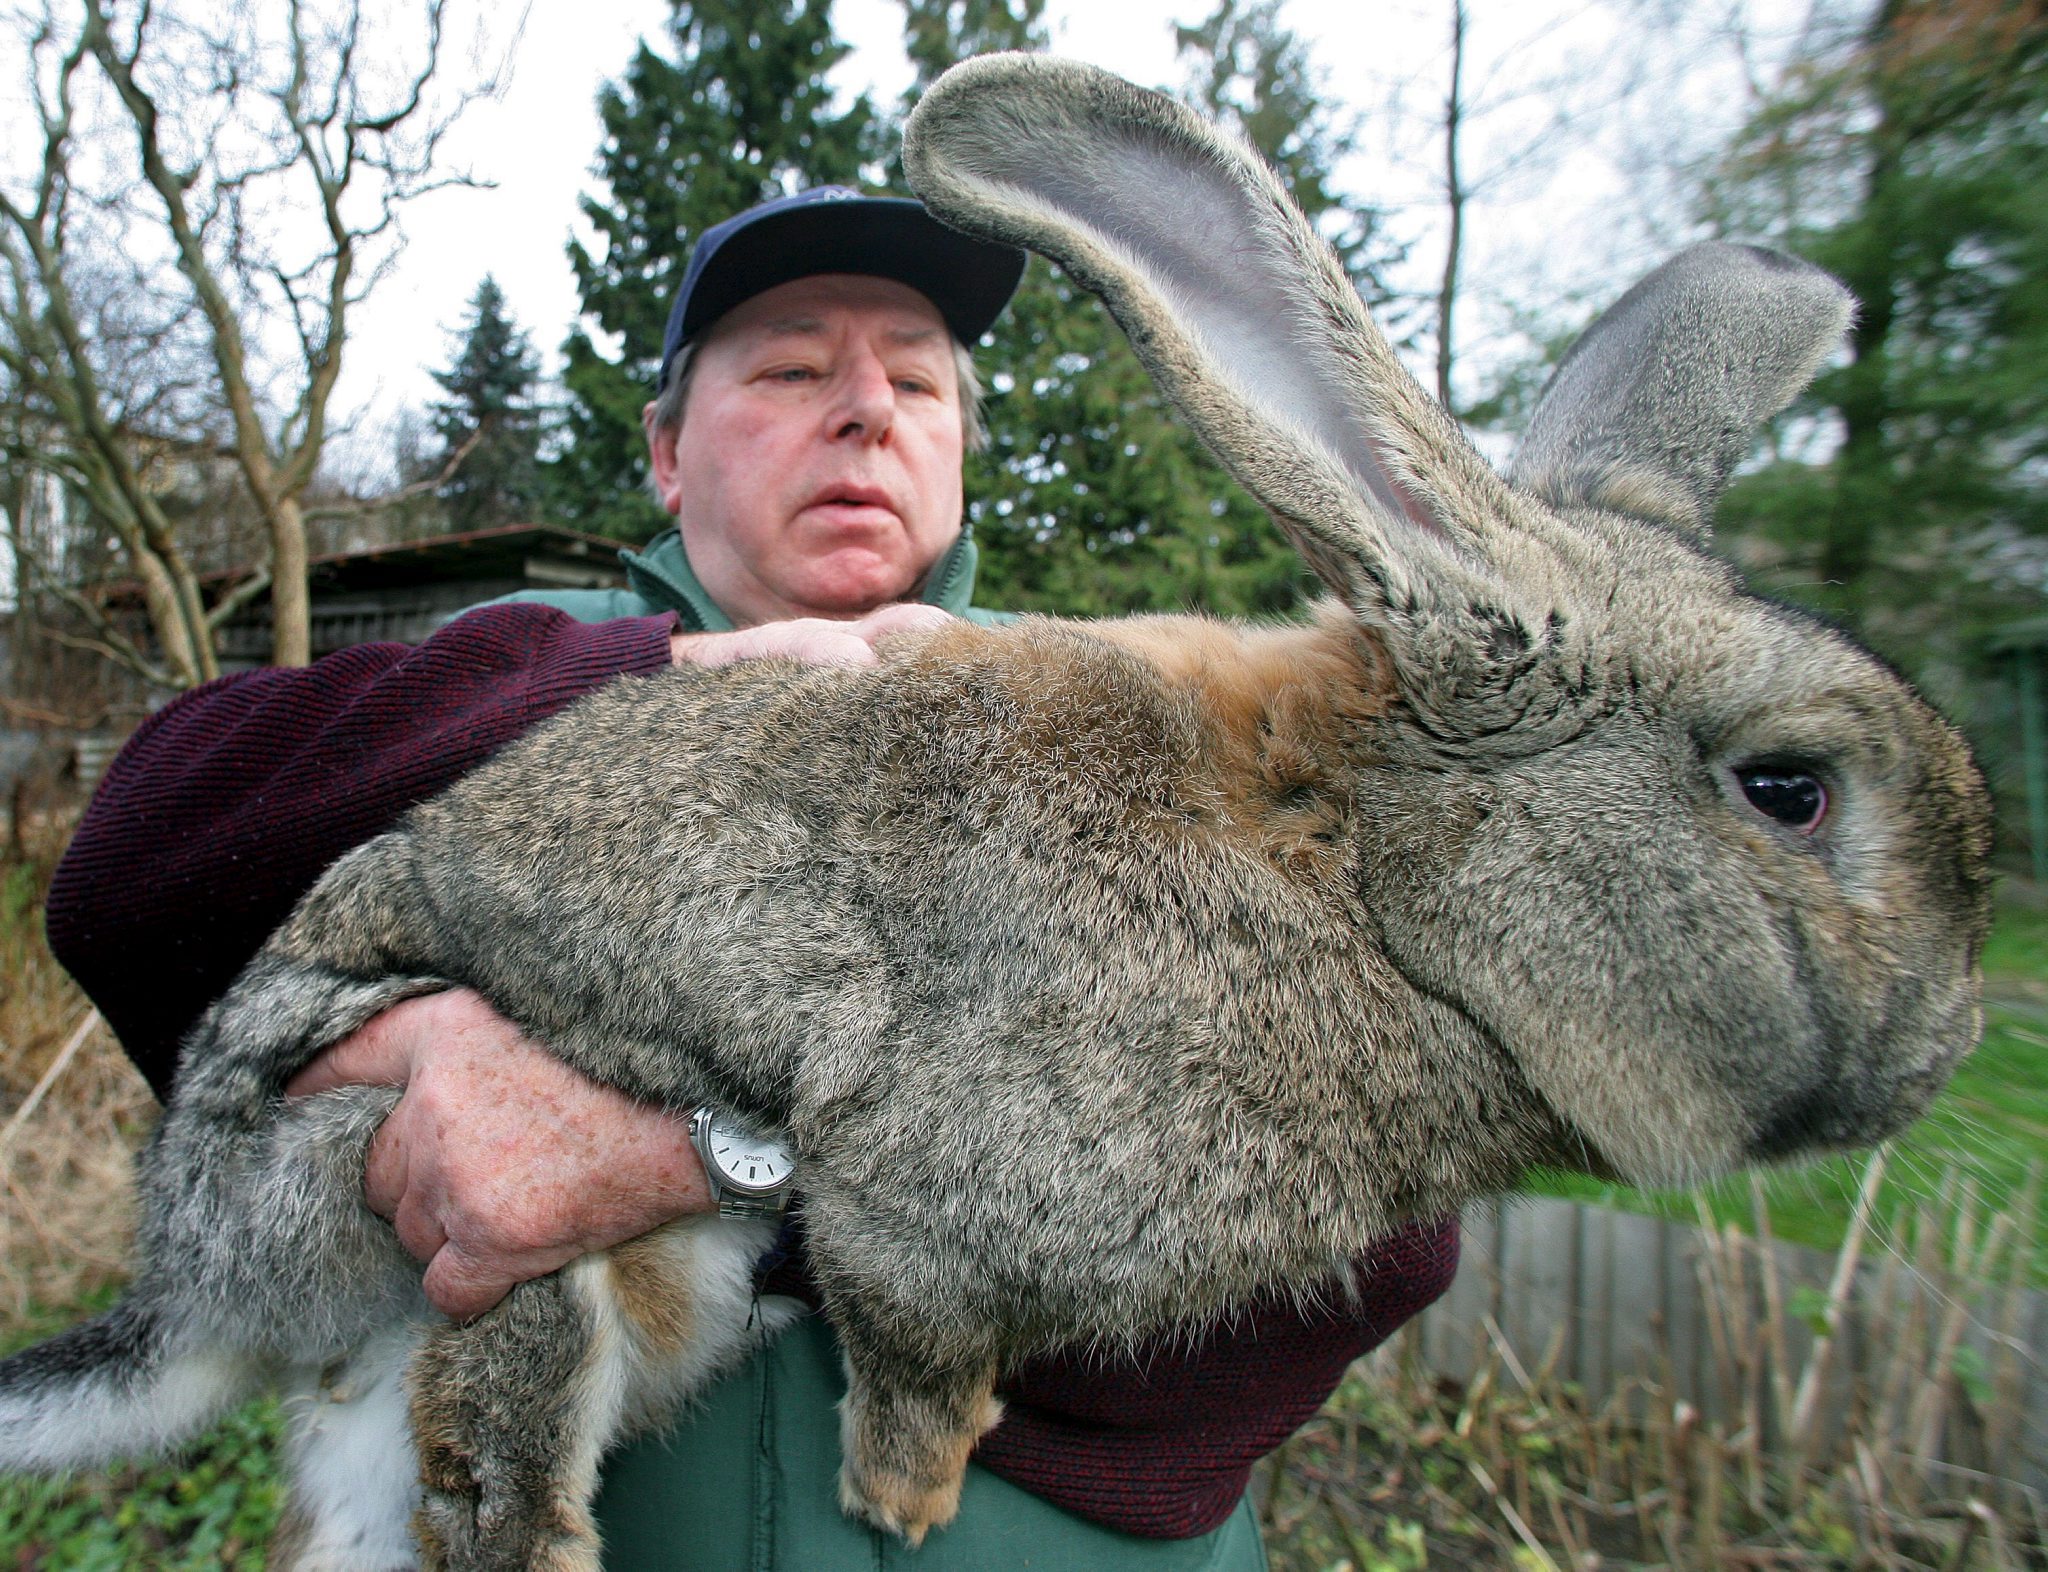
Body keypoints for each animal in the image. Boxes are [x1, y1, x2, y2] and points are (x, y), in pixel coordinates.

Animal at [0, 49, 1990, 1572]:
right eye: (1791, 791)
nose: (1946, 1044)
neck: (1362, 867)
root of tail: (194, 1273)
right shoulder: (932, 1218)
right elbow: (914, 1344)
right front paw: (907, 1496)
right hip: (443, 1203)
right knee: (501, 1452)